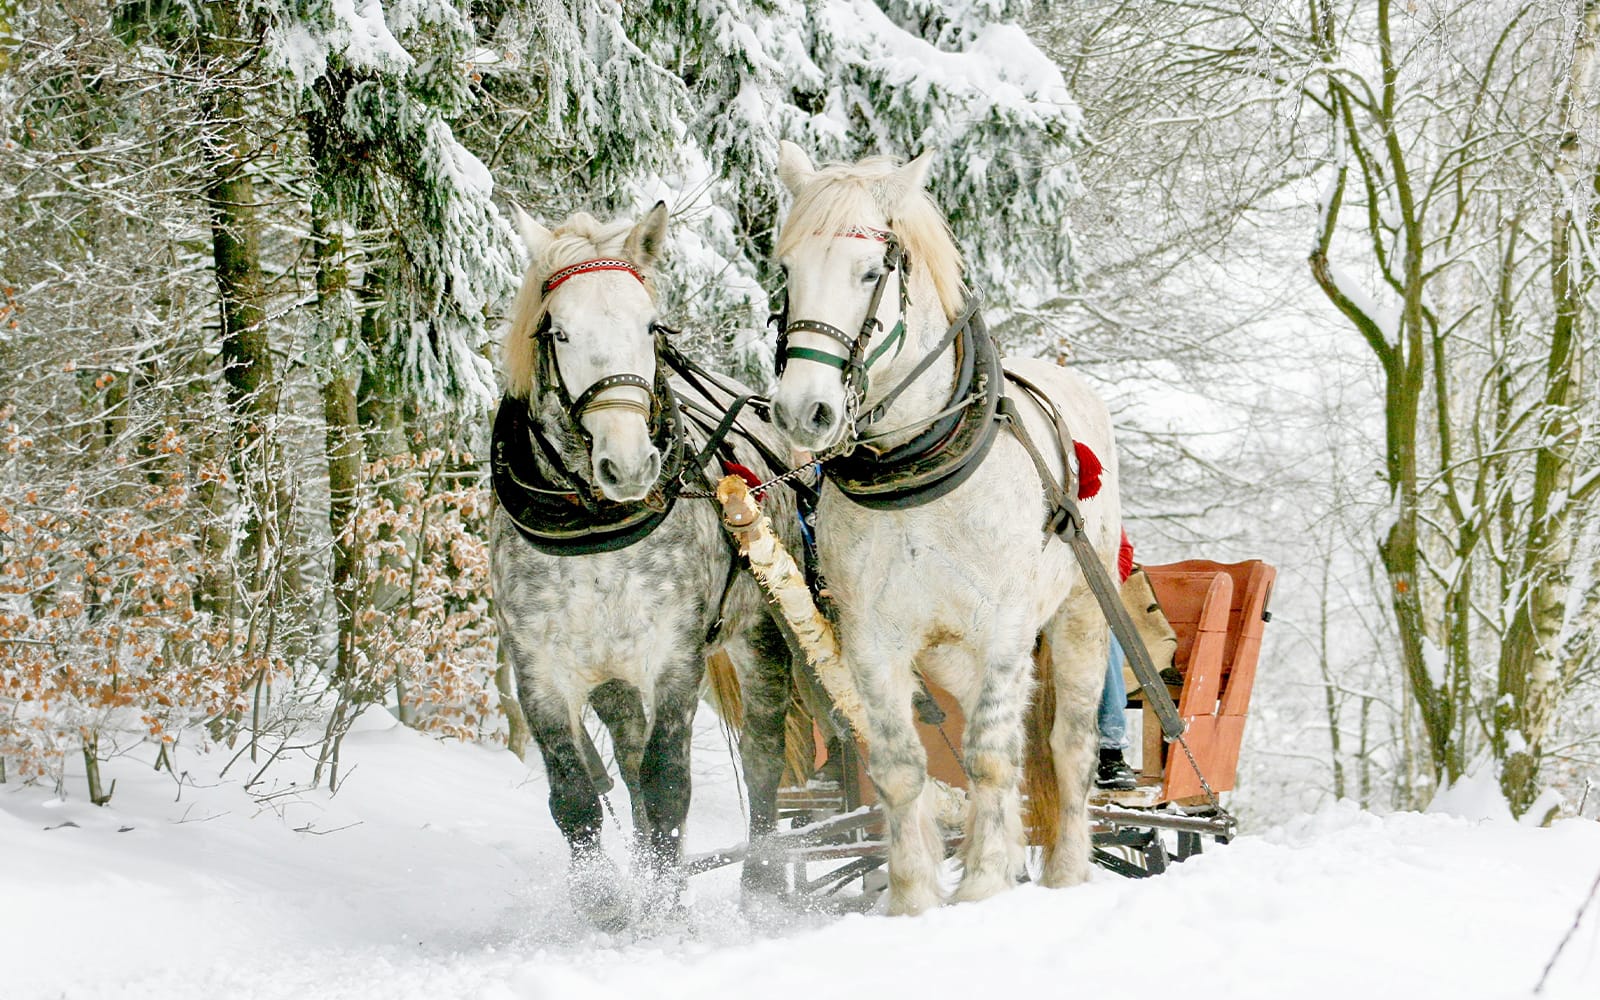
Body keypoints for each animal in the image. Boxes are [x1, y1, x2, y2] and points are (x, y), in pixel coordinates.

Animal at [490, 203, 800, 929]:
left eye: (651, 327)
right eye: (560, 331)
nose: (629, 464)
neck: (593, 528)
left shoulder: (674, 658)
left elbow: (668, 786)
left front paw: (666, 911)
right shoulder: (540, 670)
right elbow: (575, 795)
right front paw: (606, 904)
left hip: (760, 635)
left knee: (764, 754)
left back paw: (763, 884)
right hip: (613, 679)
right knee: (627, 765)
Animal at [765, 142, 1121, 915]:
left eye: (871, 272)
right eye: (788, 271)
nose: (803, 411)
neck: (916, 473)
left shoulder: (1007, 627)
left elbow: (990, 755)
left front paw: (983, 883)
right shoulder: (872, 638)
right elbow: (902, 766)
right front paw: (913, 897)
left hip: (1079, 614)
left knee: (1066, 744)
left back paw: (1066, 871)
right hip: (952, 652)